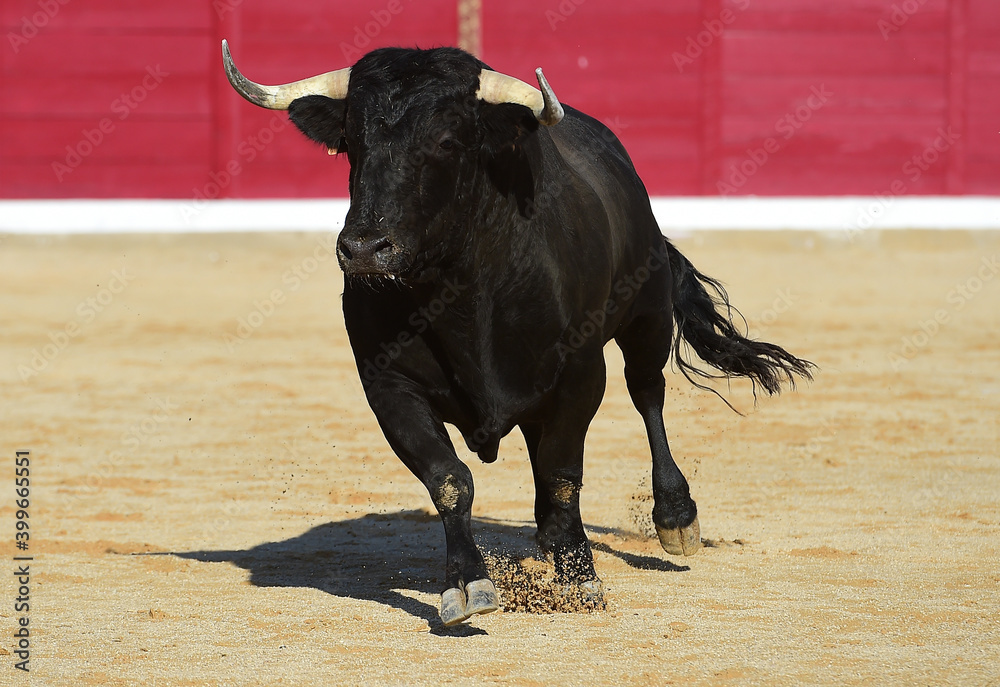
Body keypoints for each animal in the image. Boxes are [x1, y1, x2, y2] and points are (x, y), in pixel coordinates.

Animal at [222, 40, 813, 626]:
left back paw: (673, 517)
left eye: (446, 140)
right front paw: (468, 584)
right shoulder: (388, 385)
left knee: (647, 394)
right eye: (352, 142)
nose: (366, 249)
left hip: (645, 316)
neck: (458, 292)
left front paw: (580, 579)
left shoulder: (579, 374)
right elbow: (450, 478)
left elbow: (563, 474)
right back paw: (549, 537)